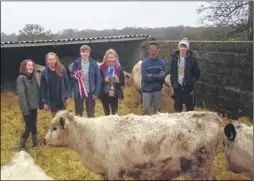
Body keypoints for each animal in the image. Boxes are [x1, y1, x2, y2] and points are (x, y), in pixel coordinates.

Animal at [43, 110, 222, 180]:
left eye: (54, 128)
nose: (44, 140)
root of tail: (211, 115)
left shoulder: (114, 171)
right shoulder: (106, 172)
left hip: (197, 169)